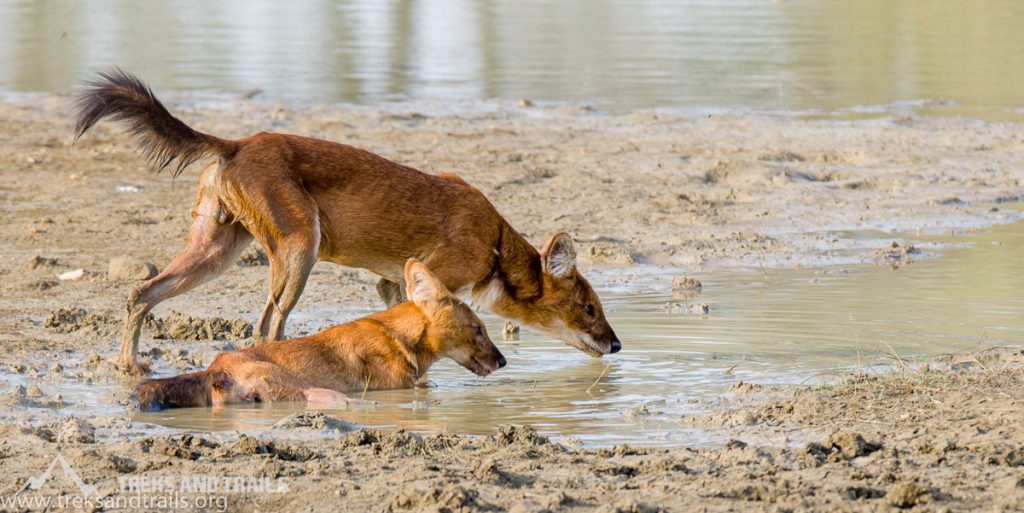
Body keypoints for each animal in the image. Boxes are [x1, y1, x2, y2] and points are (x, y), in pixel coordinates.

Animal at [75, 69, 618, 376]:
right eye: (589, 307)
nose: (616, 344)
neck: (497, 245)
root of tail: (239, 142)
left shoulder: (391, 282)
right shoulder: (436, 275)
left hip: (215, 251)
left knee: (142, 292)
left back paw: (129, 366)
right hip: (300, 247)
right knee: (267, 327)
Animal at [136, 258, 503, 409]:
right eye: (479, 329)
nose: (503, 361)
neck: (398, 338)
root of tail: (214, 368)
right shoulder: (401, 385)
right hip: (299, 385)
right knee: (329, 399)